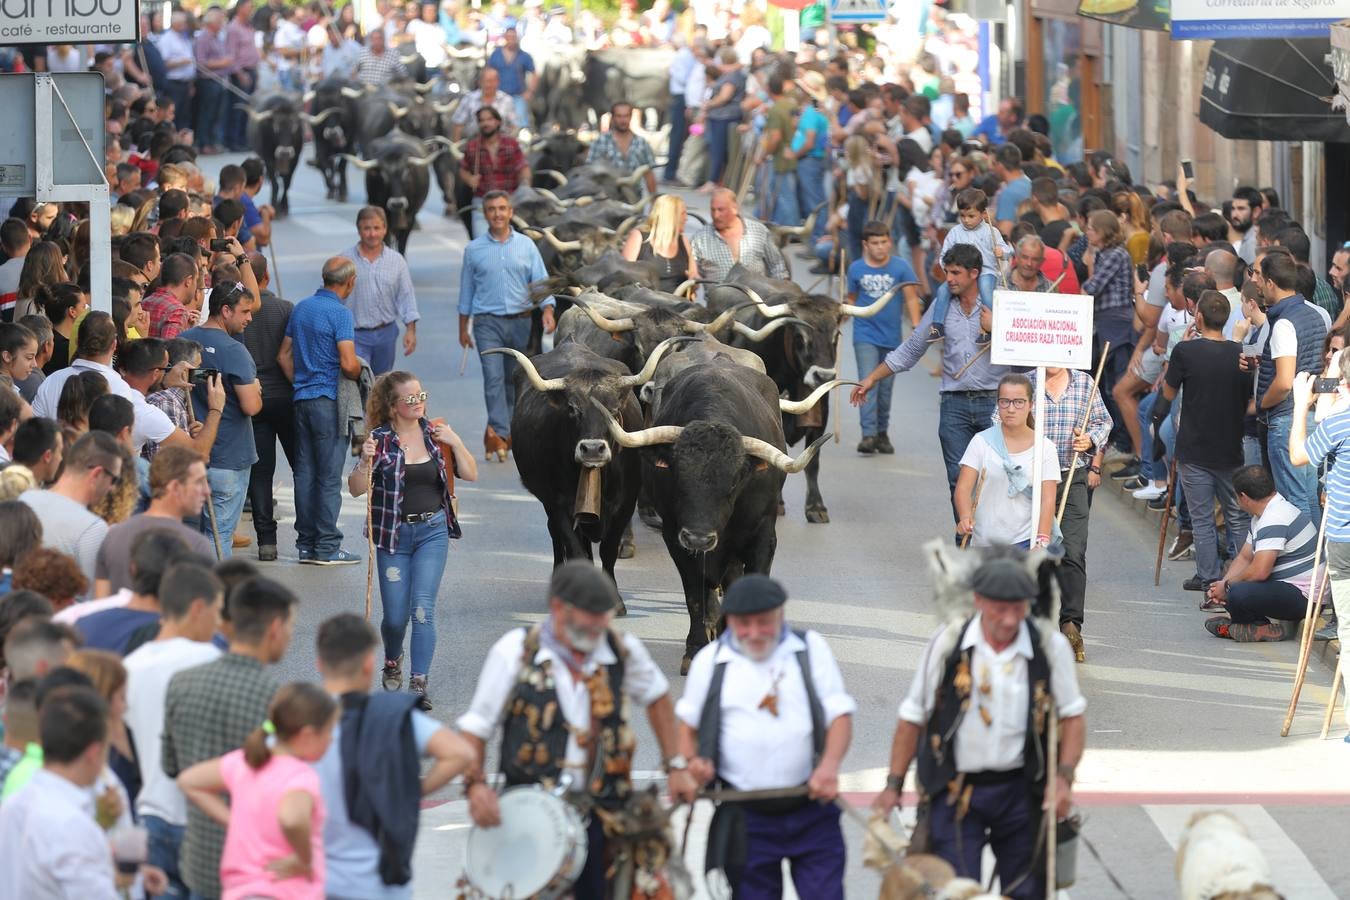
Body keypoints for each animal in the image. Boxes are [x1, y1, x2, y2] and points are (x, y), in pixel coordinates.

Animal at [480, 334, 685, 601]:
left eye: (614, 410)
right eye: (572, 409)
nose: (592, 449)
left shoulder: (624, 506)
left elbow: (608, 551)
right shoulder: (558, 504)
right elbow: (575, 549)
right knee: (558, 539)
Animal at [594, 356, 831, 671]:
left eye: (733, 483)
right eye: (678, 477)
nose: (698, 538)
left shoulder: (763, 537)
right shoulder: (676, 539)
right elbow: (695, 592)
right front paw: (695, 647)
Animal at [707, 269, 907, 520]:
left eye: (836, 334)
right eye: (800, 336)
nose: (824, 375)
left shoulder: (821, 411)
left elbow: (813, 461)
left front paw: (816, 507)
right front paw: (779, 504)